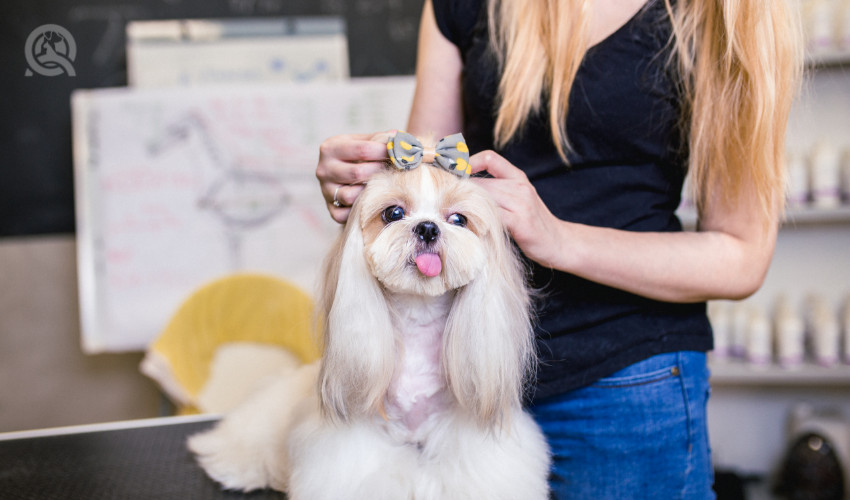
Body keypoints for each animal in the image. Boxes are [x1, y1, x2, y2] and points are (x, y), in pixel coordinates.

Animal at [187, 133, 548, 500]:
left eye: (458, 219)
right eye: (393, 213)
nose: (428, 228)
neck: (417, 315)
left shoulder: (466, 433)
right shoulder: (352, 441)